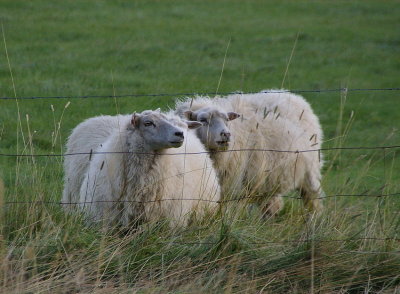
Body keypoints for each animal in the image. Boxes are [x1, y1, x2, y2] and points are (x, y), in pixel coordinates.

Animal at [176, 90, 324, 215]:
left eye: (227, 120)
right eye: (203, 120)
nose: (226, 134)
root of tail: (293, 96)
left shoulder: (242, 186)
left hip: (310, 169)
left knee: (312, 197)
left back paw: (313, 220)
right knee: (272, 204)